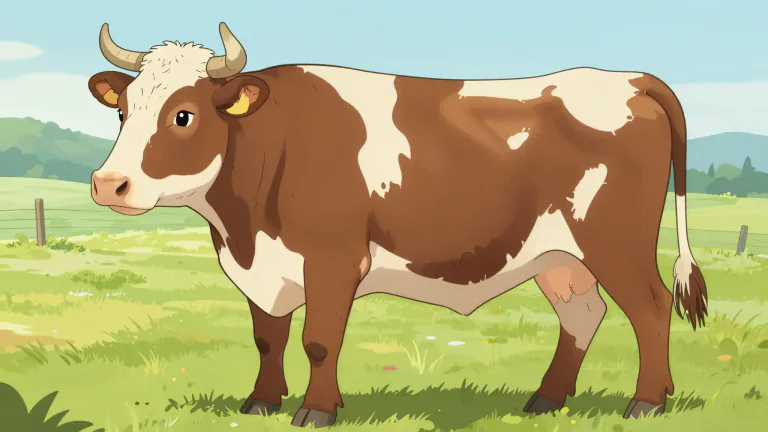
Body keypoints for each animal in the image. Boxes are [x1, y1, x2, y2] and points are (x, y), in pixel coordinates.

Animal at [87, 22, 709, 428]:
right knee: (583, 312)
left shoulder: (333, 258)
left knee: (651, 307)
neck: (241, 227)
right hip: (556, 255)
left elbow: (318, 339)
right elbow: (268, 335)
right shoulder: (263, 265)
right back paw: (545, 401)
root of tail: (628, 78)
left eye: (183, 115)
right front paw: (262, 402)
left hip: (615, 240)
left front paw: (316, 410)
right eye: (121, 111)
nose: (107, 183)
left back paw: (647, 402)